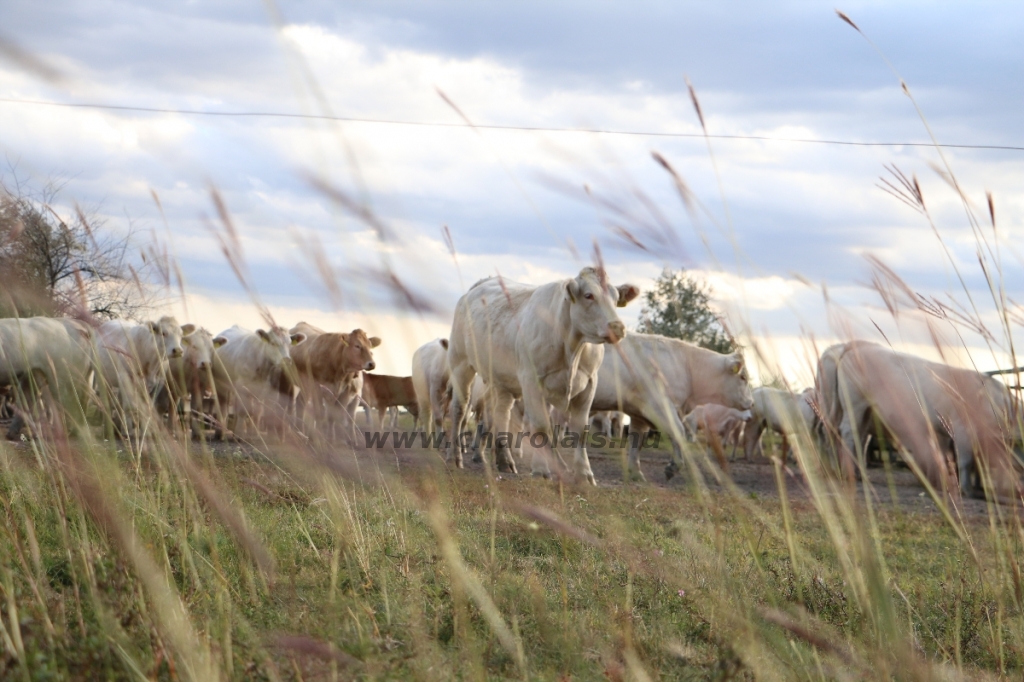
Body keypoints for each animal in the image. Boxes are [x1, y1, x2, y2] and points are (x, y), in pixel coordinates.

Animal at [450, 266, 638, 483]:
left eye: (616, 299)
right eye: (589, 295)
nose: (617, 327)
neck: (572, 346)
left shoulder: (590, 383)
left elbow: (579, 430)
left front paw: (584, 473)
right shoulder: (531, 380)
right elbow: (540, 426)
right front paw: (541, 469)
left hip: (501, 379)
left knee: (500, 415)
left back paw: (505, 461)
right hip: (460, 363)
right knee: (459, 410)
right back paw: (454, 457)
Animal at [589, 331, 757, 481]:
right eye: (743, 377)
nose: (752, 402)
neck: (686, 366)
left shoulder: (639, 415)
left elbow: (637, 441)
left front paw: (636, 472)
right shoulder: (660, 407)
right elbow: (678, 431)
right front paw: (674, 466)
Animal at [827, 342, 1019, 497]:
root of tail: (852, 349)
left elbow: (947, 457)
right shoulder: (962, 428)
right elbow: (965, 461)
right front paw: (967, 491)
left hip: (867, 410)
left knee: (859, 436)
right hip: (854, 402)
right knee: (848, 431)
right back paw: (849, 473)